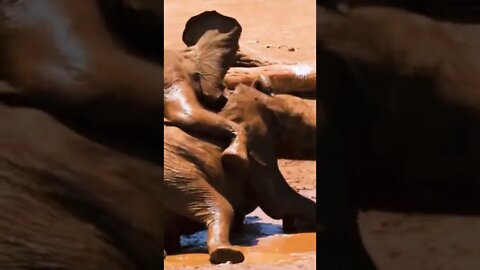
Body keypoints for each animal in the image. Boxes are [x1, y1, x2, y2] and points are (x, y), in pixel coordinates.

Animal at [163, 84, 316, 264]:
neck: (268, 101)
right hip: (176, 176)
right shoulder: (256, 149)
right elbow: (277, 202)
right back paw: (227, 253)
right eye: (307, 127)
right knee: (221, 206)